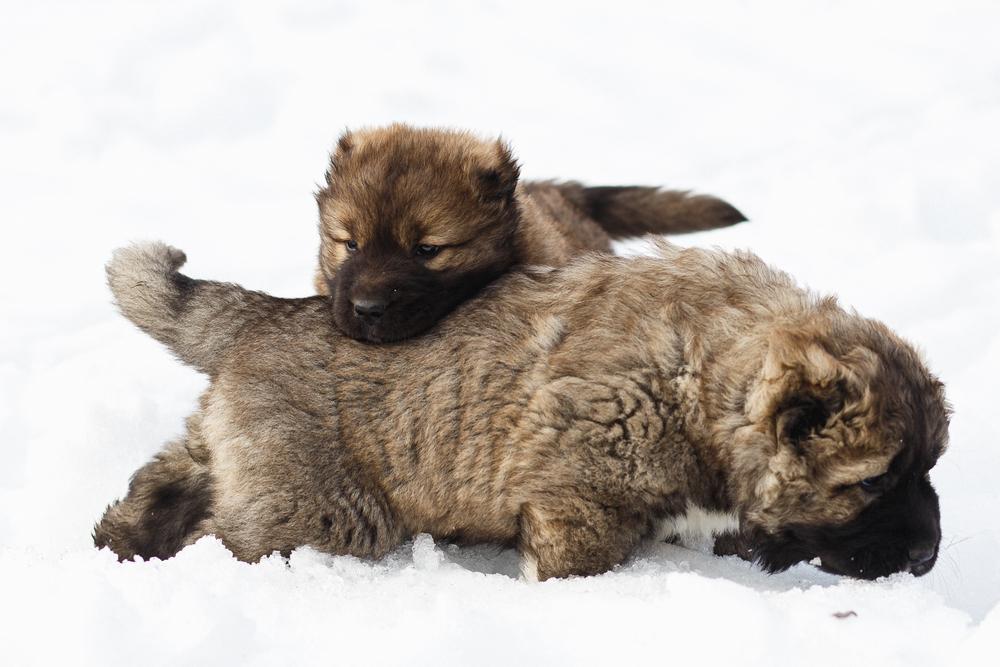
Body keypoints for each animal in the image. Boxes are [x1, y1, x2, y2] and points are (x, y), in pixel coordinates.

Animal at [92, 243, 944, 580]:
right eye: (872, 481)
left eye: (929, 466)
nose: (928, 555)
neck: (706, 384)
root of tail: (267, 315)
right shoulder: (580, 487)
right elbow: (583, 557)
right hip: (321, 506)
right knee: (223, 530)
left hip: (230, 448)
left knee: (164, 482)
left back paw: (118, 540)